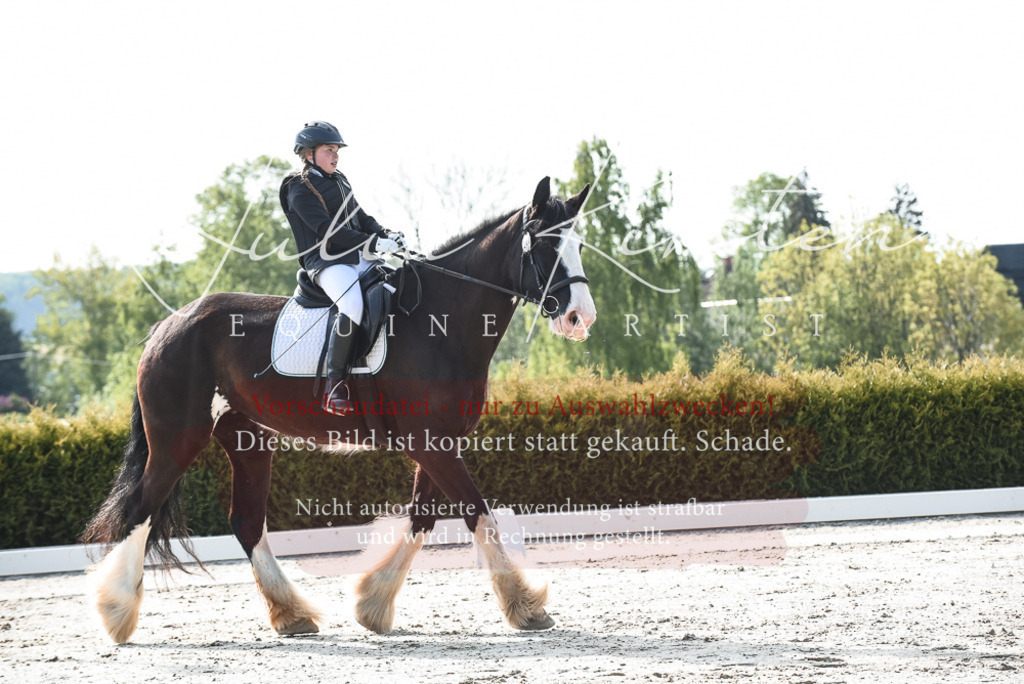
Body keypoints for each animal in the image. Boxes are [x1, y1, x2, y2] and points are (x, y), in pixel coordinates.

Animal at [82, 177, 597, 643]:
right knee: (141, 510)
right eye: (547, 246)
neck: (438, 323)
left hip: (249, 441)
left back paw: (291, 615)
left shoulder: (438, 443)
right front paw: (525, 607)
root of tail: (167, 326)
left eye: (578, 245)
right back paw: (117, 613)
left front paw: (373, 604)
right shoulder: (431, 444)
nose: (581, 318)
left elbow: (422, 519)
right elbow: (477, 514)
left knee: (245, 522)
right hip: (177, 441)